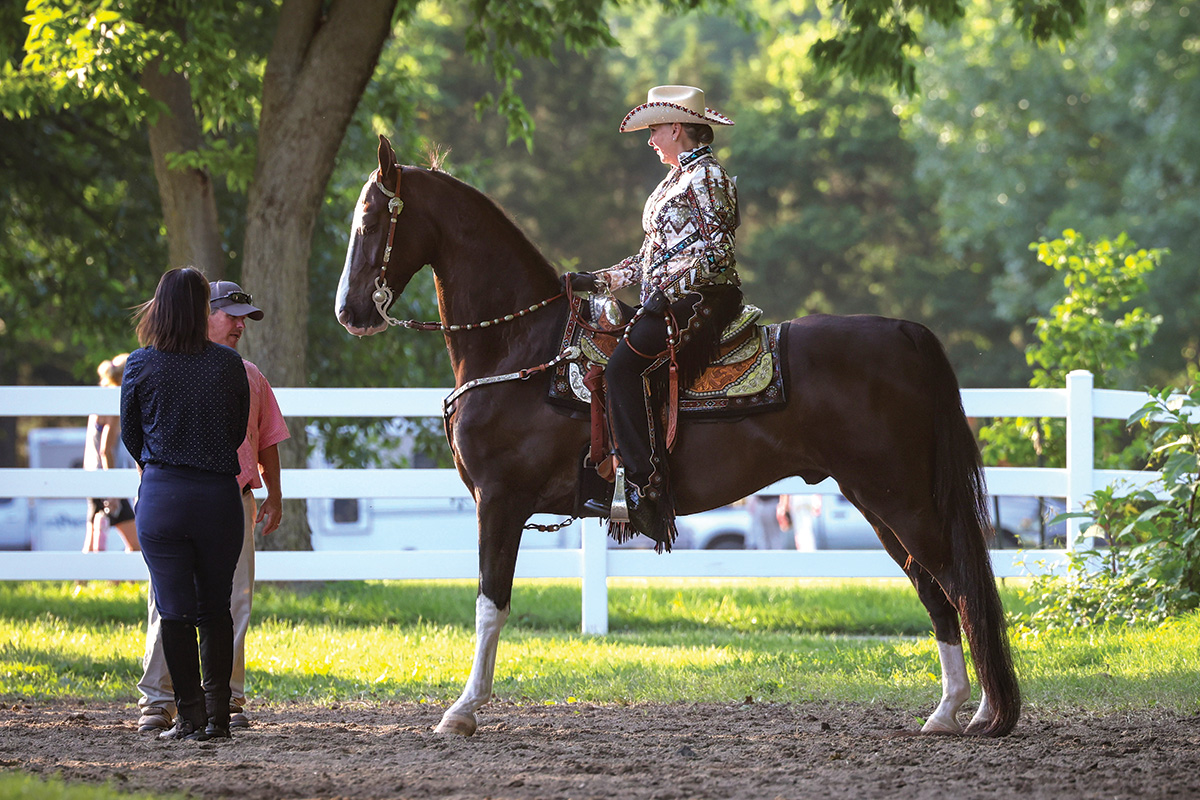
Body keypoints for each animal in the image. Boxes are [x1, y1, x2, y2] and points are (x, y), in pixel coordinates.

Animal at [338, 133, 1022, 738]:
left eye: (371, 218)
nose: (350, 312)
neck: (524, 349)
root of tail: (905, 332)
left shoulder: (500, 502)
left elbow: (489, 605)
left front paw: (462, 712)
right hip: (878, 500)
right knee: (937, 591)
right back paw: (949, 713)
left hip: (899, 497)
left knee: (960, 584)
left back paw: (983, 711)